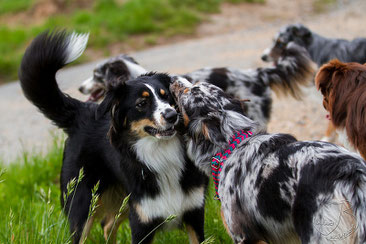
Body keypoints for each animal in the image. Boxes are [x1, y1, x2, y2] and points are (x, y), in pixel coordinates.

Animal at [20, 30, 207, 244]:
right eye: (141, 103)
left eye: (166, 96)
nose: (171, 115)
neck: (161, 153)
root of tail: (81, 112)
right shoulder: (141, 222)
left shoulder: (194, 214)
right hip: (82, 206)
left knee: (107, 224)